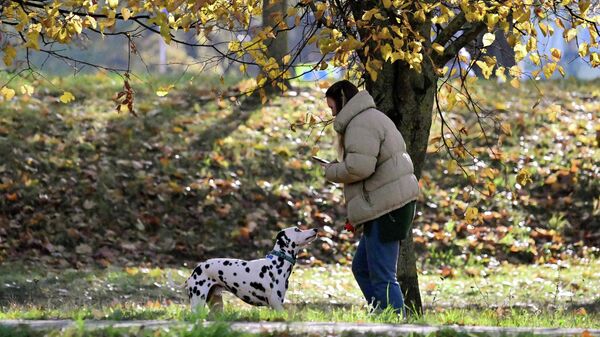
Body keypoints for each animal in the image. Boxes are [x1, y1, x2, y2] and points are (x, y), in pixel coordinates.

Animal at [186, 226, 318, 310]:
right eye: (297, 229)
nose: (316, 229)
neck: (277, 264)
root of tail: (196, 268)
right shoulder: (276, 305)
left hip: (216, 305)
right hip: (198, 302)